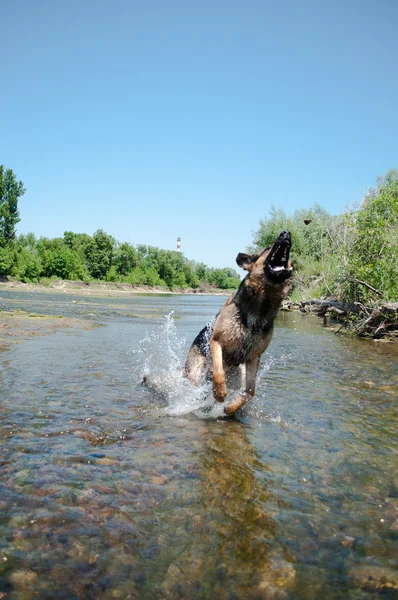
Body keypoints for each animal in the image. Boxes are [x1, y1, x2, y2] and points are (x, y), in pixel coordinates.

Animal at [185, 232, 294, 414]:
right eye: (267, 248)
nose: (285, 233)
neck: (260, 307)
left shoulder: (254, 358)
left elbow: (250, 391)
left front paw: (230, 407)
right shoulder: (216, 342)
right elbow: (218, 373)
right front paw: (220, 393)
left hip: (238, 375)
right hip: (195, 371)